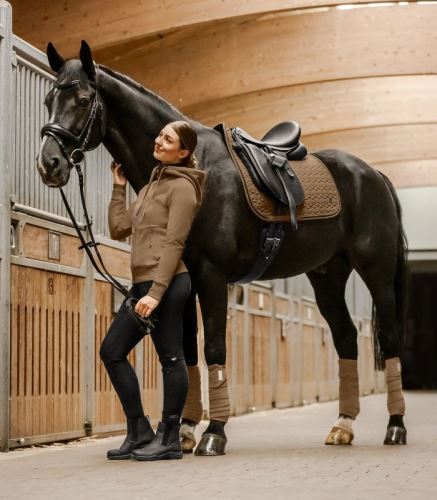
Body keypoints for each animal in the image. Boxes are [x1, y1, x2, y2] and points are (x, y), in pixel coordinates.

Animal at [35, 43, 408, 454]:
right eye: (50, 99)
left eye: (84, 100)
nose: (48, 163)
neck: (196, 172)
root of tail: (373, 175)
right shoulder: (181, 280)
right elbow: (186, 350)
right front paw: (184, 432)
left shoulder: (211, 276)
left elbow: (214, 347)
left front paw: (213, 433)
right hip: (327, 275)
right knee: (345, 338)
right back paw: (342, 426)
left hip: (376, 273)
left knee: (390, 340)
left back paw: (395, 428)